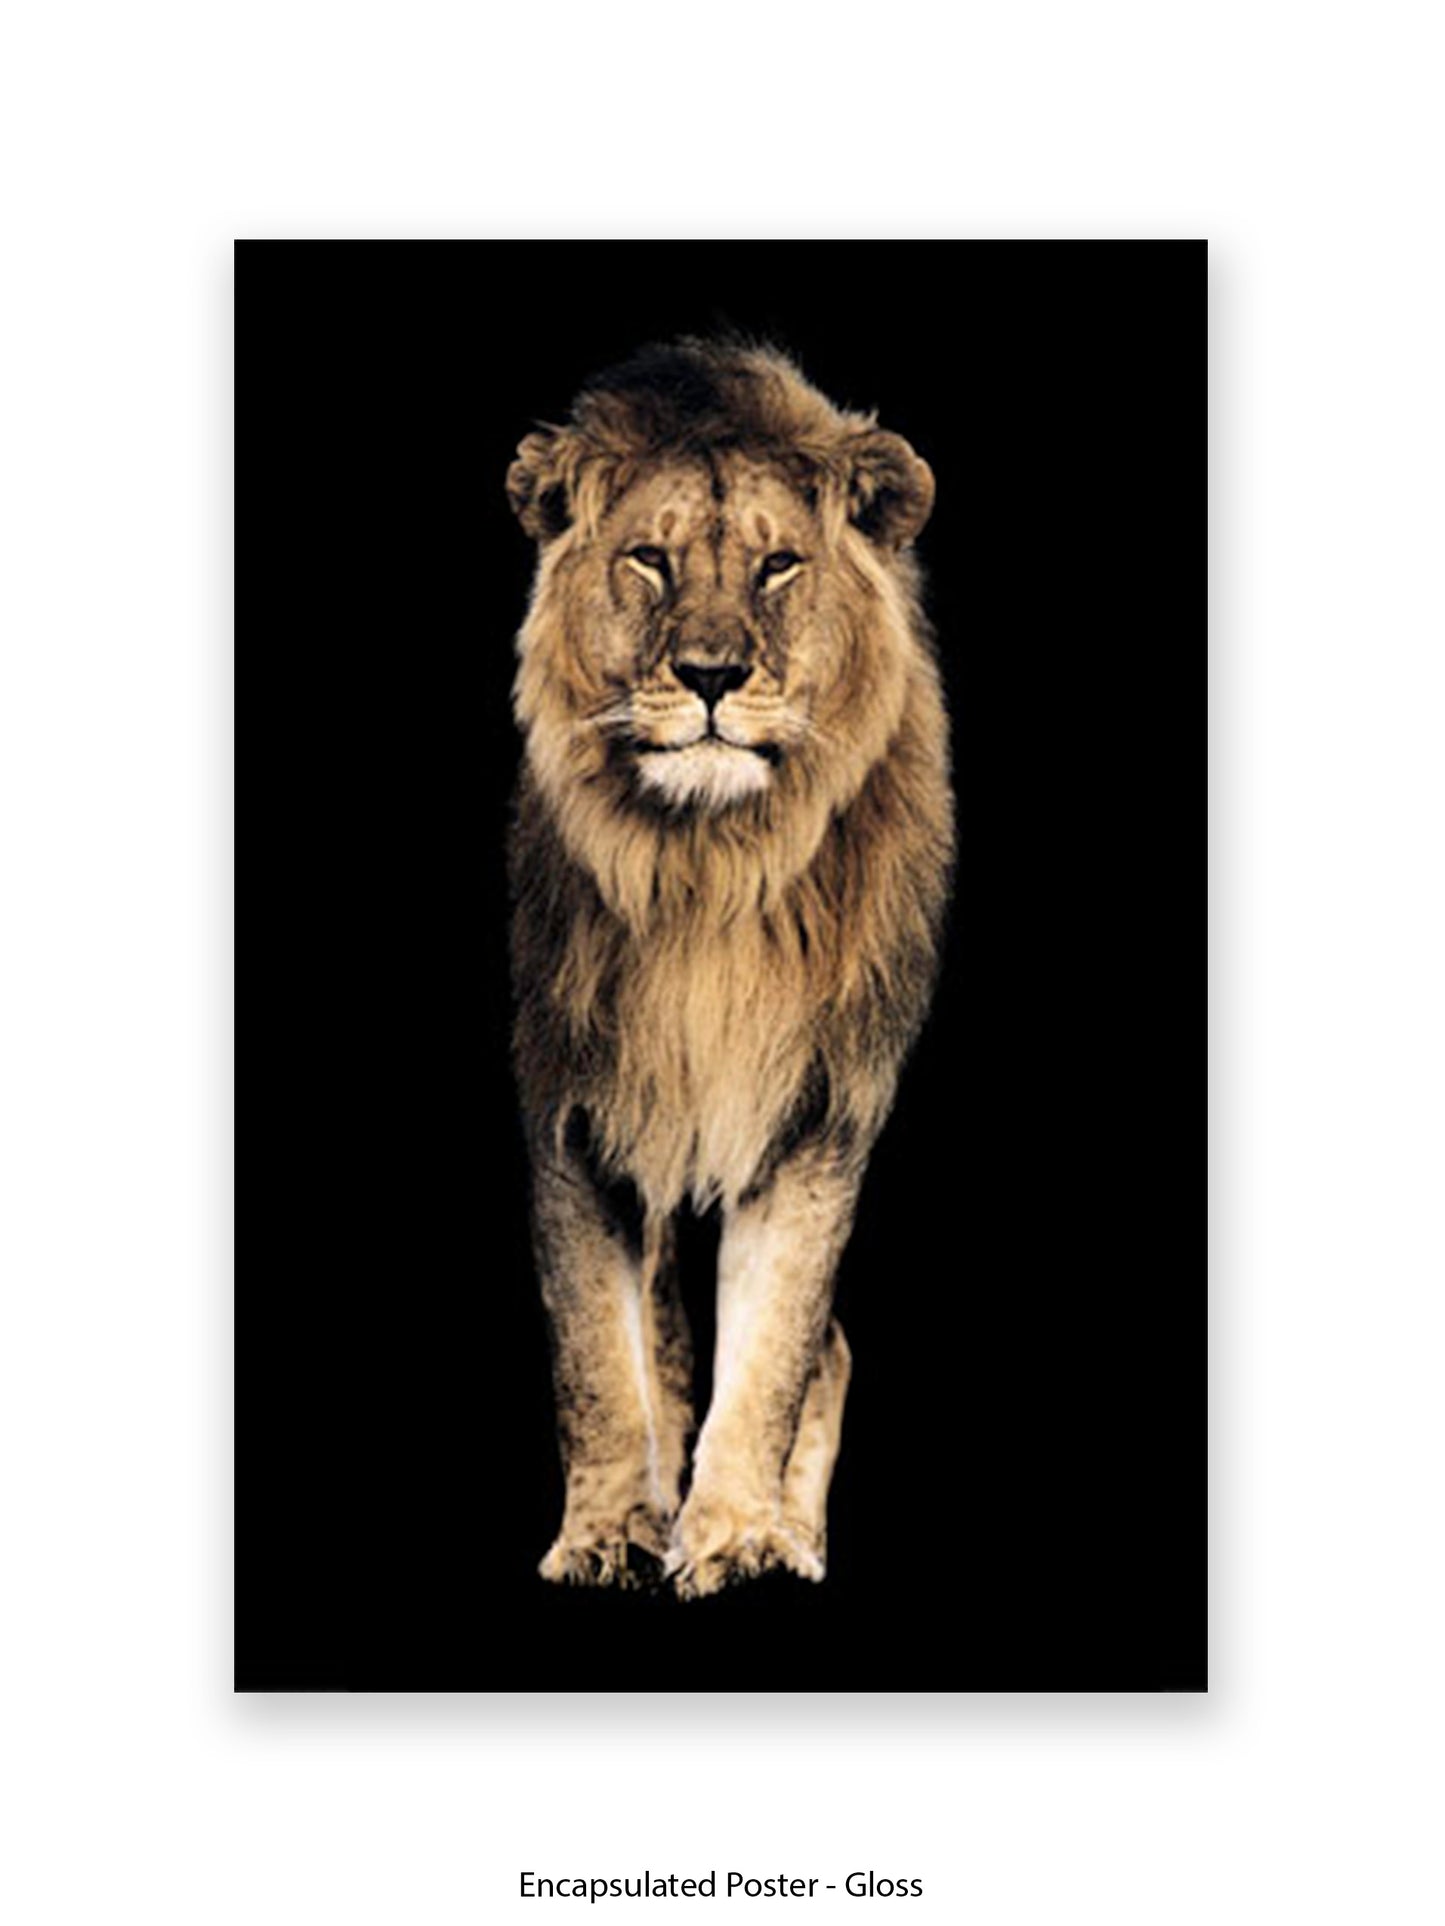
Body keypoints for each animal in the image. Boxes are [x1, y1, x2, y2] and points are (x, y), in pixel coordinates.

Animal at [505, 338, 953, 1597]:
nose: (710, 673)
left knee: (828, 1354)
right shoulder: (570, 1106)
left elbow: (775, 1349)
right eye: (649, 559)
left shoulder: (818, 1108)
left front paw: (743, 1536)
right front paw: (608, 1533)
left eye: (779, 565)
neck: (708, 870)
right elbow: (598, 1358)